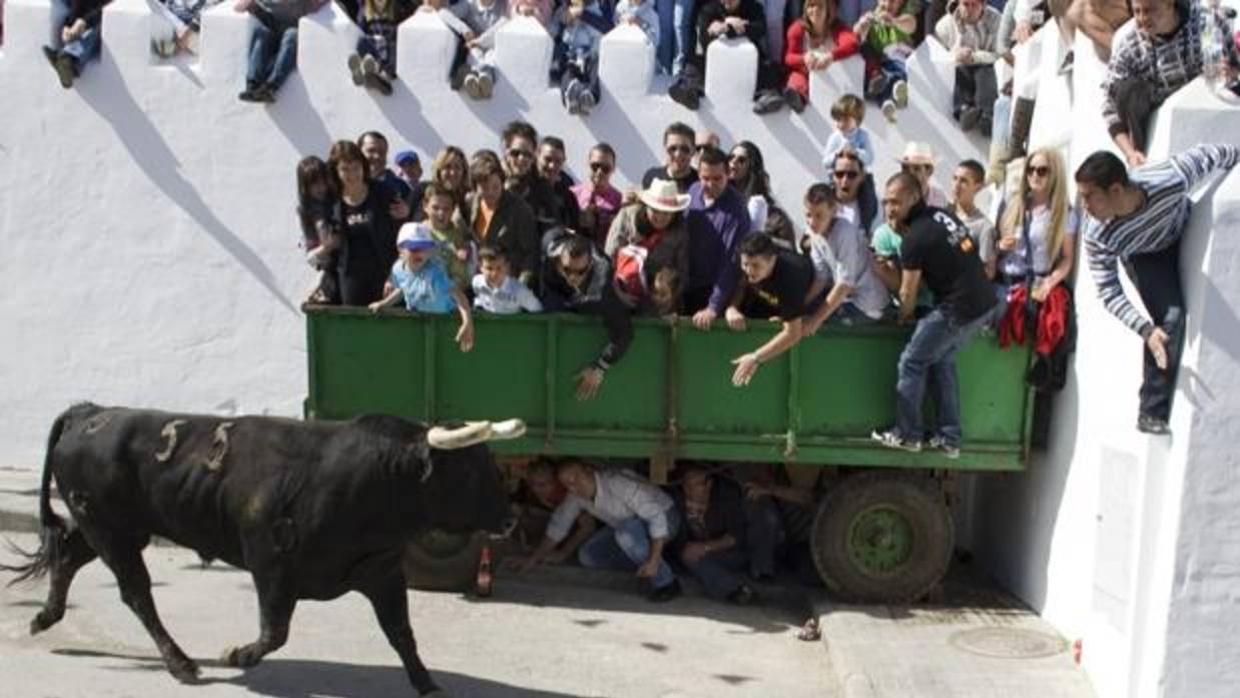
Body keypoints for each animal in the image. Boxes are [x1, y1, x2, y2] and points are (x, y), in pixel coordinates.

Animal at [0, 401, 513, 694]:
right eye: (468, 471)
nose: (510, 519)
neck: (373, 480)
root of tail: (89, 412)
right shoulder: (270, 562)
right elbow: (275, 632)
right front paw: (237, 655)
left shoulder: (382, 570)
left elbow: (402, 633)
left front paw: (428, 685)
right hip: (112, 531)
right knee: (136, 594)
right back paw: (181, 664)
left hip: (112, 527)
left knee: (67, 555)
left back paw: (44, 618)